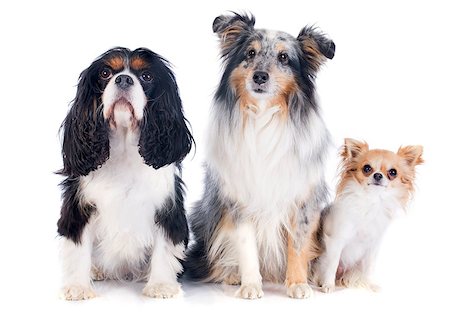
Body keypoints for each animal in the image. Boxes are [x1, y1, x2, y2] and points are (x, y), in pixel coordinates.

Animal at [56, 46, 192, 298]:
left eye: (146, 76)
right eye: (106, 73)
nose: (124, 79)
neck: (124, 144)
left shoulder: (167, 208)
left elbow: (164, 246)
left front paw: (160, 285)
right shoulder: (79, 207)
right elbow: (78, 247)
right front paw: (78, 287)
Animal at [185, 11, 336, 298]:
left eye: (284, 57)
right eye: (251, 53)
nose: (260, 77)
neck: (264, 115)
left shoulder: (303, 201)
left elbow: (297, 246)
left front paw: (297, 284)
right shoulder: (239, 199)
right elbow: (247, 246)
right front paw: (251, 285)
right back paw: (231, 275)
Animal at [312, 138, 422, 290]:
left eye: (393, 172)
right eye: (367, 168)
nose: (378, 175)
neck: (371, 201)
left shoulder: (373, 246)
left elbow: (370, 267)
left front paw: (370, 285)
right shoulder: (337, 240)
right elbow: (332, 264)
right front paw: (328, 285)